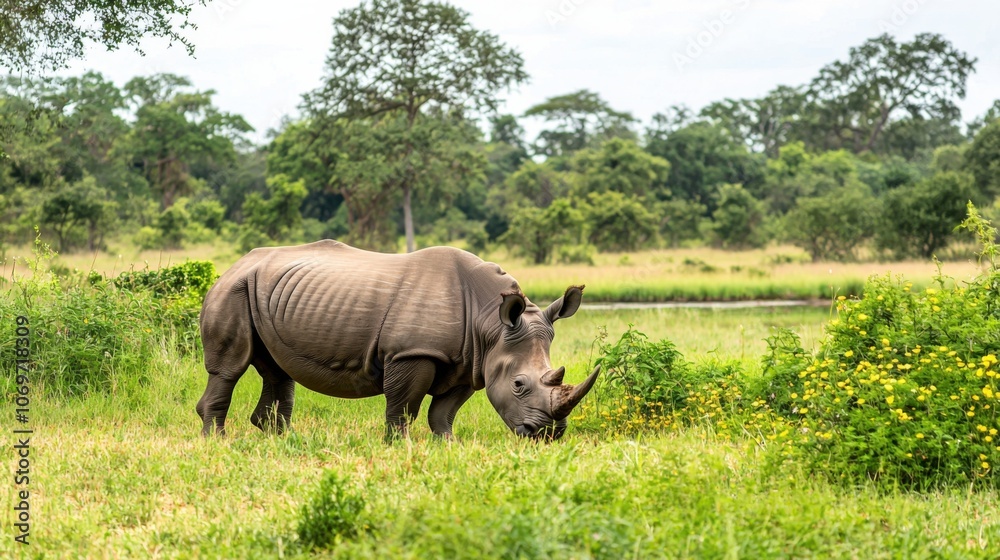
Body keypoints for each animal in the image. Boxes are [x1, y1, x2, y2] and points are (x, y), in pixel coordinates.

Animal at [196, 240, 600, 440]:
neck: (489, 323)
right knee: (230, 368)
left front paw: (448, 445)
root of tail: (234, 264)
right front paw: (400, 446)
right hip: (233, 289)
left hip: (265, 292)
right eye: (518, 385)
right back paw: (217, 440)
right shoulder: (412, 353)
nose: (548, 435)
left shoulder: (470, 362)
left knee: (277, 369)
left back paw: (279, 439)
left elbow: (443, 412)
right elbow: (404, 406)